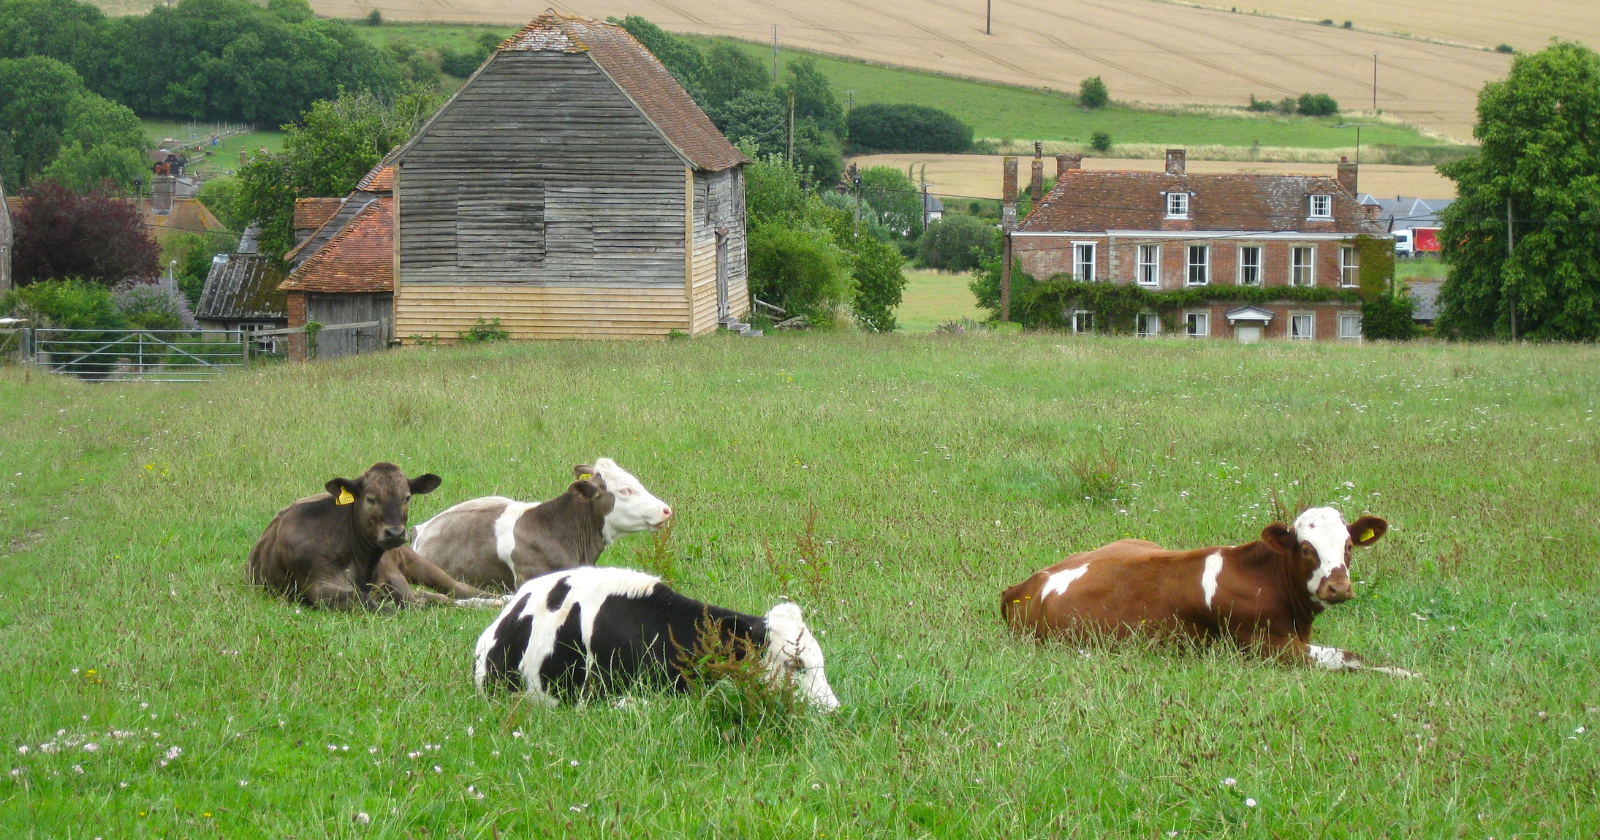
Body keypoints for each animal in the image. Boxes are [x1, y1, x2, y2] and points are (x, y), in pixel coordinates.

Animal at [247, 462, 492, 611]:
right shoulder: (319, 588)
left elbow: (409, 600)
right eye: (370, 498)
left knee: (457, 588)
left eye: (407, 497)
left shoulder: (392, 575)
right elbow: (371, 602)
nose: (394, 533)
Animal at [1001, 507, 1414, 676]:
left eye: (1348, 546)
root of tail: (1026, 583)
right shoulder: (1266, 646)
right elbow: (1351, 657)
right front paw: (1408, 674)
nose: (1338, 587)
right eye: (1307, 549)